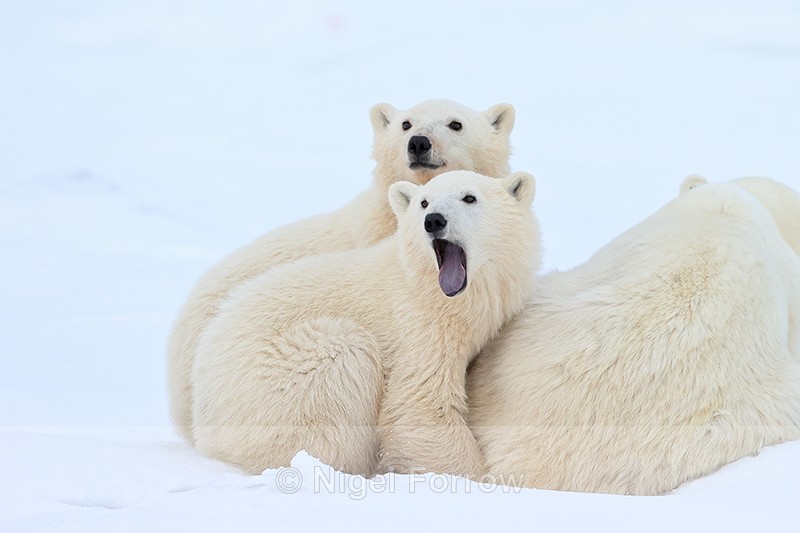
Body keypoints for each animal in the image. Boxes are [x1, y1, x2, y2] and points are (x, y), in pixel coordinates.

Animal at [190, 170, 540, 477]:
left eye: (470, 197)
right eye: (424, 202)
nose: (434, 220)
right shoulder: (418, 328)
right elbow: (419, 407)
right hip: (276, 382)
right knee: (344, 363)